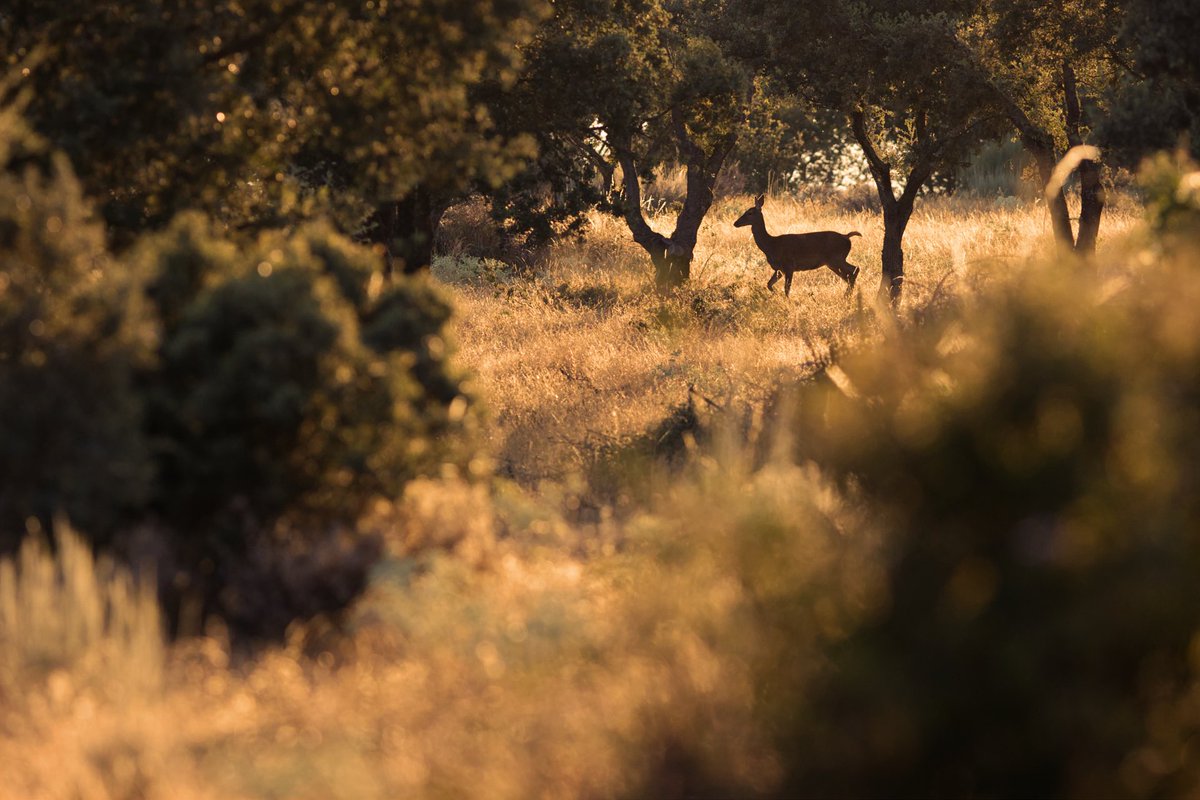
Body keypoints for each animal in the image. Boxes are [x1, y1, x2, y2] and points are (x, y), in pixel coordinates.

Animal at [733, 194, 862, 297]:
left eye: (749, 213)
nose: (735, 223)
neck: (771, 245)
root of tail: (847, 237)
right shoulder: (779, 269)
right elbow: (769, 284)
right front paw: (777, 295)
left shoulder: (789, 265)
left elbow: (786, 289)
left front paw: (786, 300)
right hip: (834, 261)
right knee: (852, 273)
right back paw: (847, 296)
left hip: (835, 259)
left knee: (854, 270)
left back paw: (846, 296)